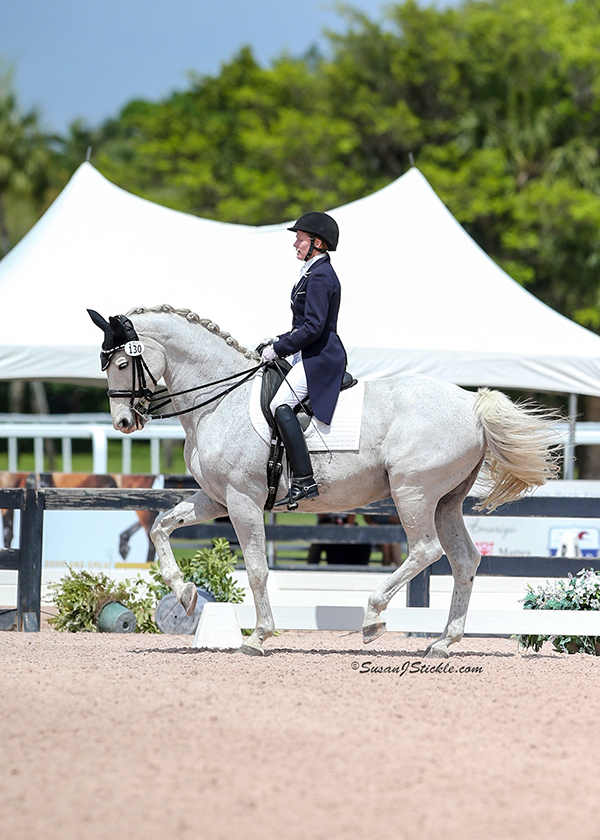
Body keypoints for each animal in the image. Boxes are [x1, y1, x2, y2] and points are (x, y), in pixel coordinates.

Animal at [89, 306, 564, 660]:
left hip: (412, 492)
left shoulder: (243, 500)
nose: (124, 422)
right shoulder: (216, 498)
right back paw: (444, 642)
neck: (219, 403)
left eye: (121, 363)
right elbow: (161, 527)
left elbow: (257, 569)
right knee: (464, 560)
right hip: (447, 499)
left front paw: (258, 637)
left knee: (425, 551)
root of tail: (472, 403)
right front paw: (186, 593)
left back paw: (373, 618)